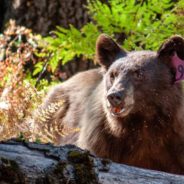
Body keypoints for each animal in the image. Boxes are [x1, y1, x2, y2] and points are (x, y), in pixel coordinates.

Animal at [37, 34, 184, 174]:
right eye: (113, 74)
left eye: (138, 73)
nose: (114, 96)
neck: (143, 124)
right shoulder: (101, 139)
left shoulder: (176, 143)